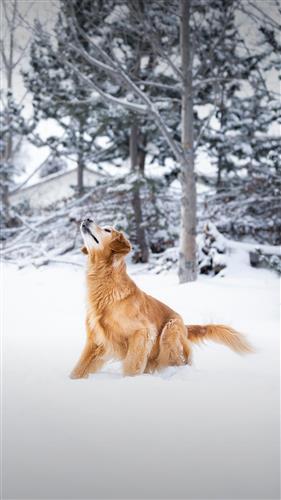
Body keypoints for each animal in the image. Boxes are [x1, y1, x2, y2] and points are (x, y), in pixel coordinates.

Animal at [69, 219, 252, 378]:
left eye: (107, 230)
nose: (87, 219)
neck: (105, 281)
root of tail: (185, 326)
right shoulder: (95, 340)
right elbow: (79, 368)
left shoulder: (143, 332)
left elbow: (132, 365)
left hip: (169, 331)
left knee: (178, 361)